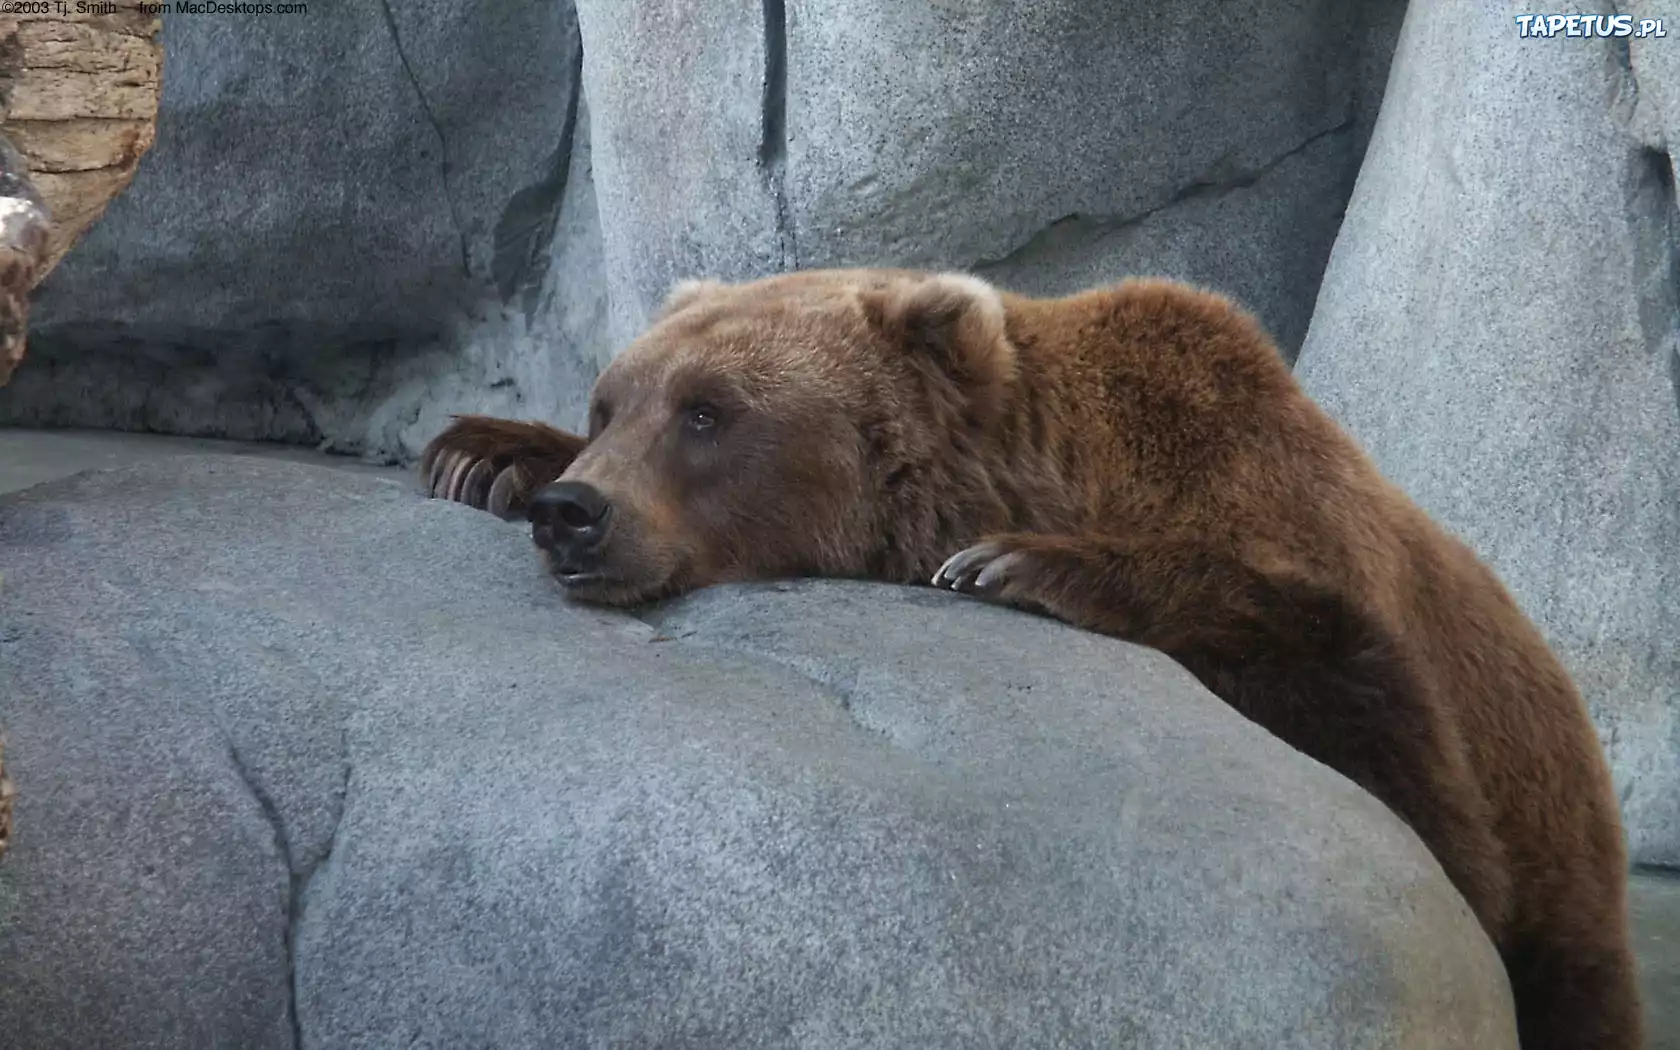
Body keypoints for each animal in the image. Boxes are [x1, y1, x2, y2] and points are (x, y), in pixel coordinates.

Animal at [416, 265, 1639, 1041]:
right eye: (609, 401)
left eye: (709, 412)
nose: (577, 515)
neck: (1076, 470)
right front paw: (481, 453)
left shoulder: (1310, 562)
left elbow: (1386, 750)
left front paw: (1009, 565)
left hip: (1565, 890)